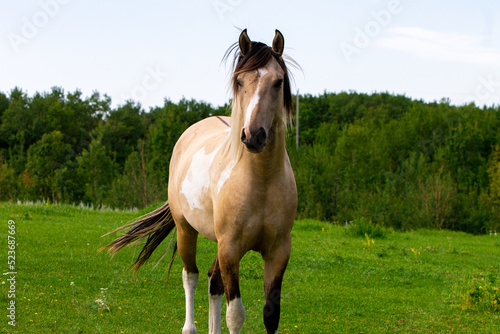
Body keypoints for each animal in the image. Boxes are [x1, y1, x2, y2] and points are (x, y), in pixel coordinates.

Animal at [101, 29, 296, 334]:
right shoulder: (230, 249)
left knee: (213, 282)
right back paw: (189, 326)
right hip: (186, 230)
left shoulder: (278, 252)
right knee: (190, 276)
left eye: (278, 82)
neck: (261, 180)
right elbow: (235, 314)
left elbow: (270, 314)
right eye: (239, 81)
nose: (253, 135)